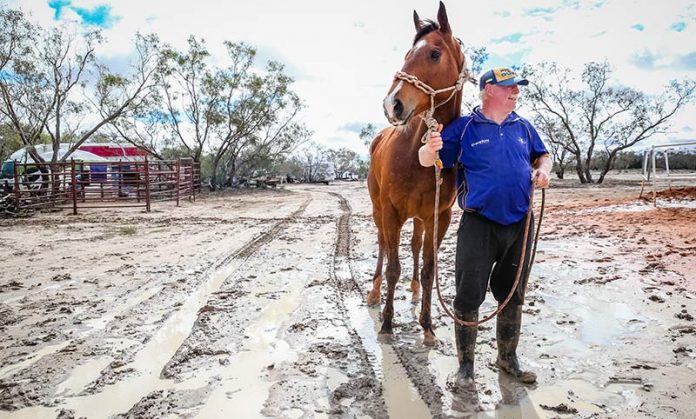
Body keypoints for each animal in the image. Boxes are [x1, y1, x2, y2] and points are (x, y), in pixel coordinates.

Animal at [364, 1, 468, 346]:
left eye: (434, 54)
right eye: (408, 53)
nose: (392, 104)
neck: (417, 157)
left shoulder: (438, 217)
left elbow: (428, 269)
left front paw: (427, 326)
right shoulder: (391, 212)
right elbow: (393, 266)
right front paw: (386, 324)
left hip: (420, 219)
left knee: (414, 248)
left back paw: (411, 290)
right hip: (378, 211)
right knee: (384, 246)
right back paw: (374, 291)